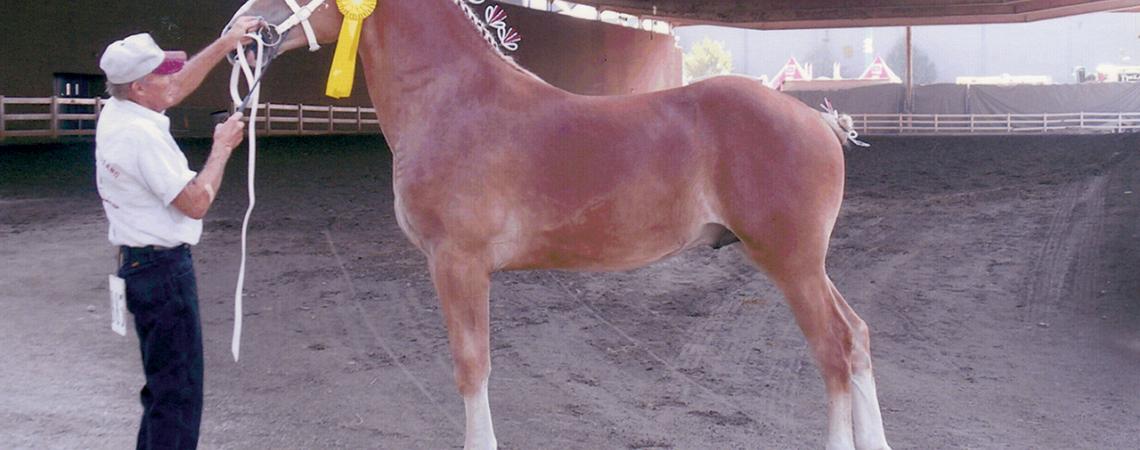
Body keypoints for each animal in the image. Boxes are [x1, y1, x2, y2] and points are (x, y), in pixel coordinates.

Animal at [226, 1, 889, 448]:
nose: (240, 31)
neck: (453, 101)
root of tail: (818, 121)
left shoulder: (458, 263)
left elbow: (472, 365)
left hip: (791, 264)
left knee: (833, 350)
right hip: (805, 265)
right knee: (856, 337)